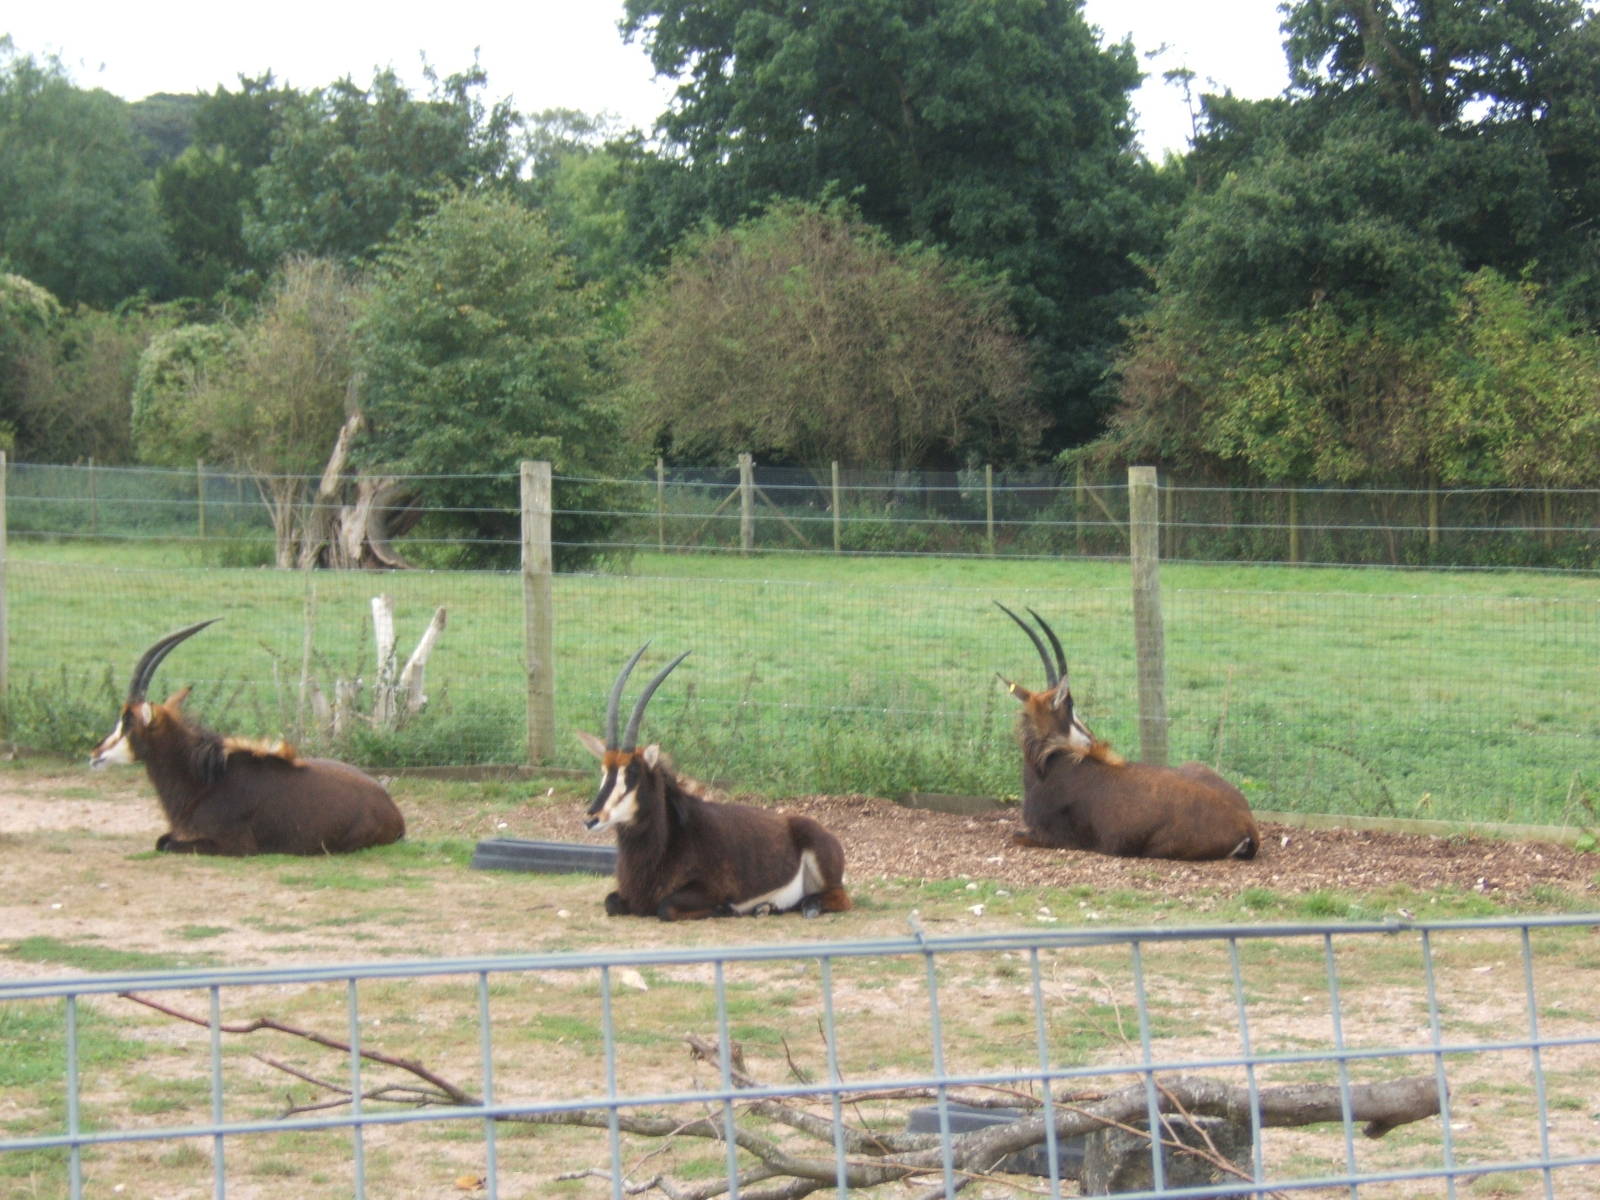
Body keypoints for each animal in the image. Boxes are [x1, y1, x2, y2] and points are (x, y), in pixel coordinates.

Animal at [90, 619, 405, 856]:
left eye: (128, 723)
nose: (95, 755)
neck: (206, 780)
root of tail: (392, 809)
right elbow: (161, 840)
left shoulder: (234, 845)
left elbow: (165, 845)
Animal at [578, 645, 851, 920]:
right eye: (604, 772)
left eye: (632, 773)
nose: (591, 819)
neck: (672, 836)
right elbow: (610, 902)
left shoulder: (706, 890)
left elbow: (666, 907)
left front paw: (724, 908)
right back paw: (766, 907)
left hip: (825, 874)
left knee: (839, 899)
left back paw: (804, 906)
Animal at [996, 603, 1258, 861]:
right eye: (1071, 709)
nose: (1091, 739)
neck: (1051, 761)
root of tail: (1246, 823)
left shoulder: (1057, 839)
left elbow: (1016, 835)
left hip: (1156, 848)